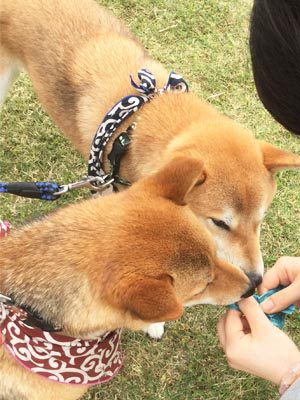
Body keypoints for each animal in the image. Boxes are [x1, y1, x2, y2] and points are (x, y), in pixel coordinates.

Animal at [0, 0, 300, 340]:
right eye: (220, 223)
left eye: (260, 221)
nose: (257, 278)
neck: (139, 120)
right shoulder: (106, 189)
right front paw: (153, 321)